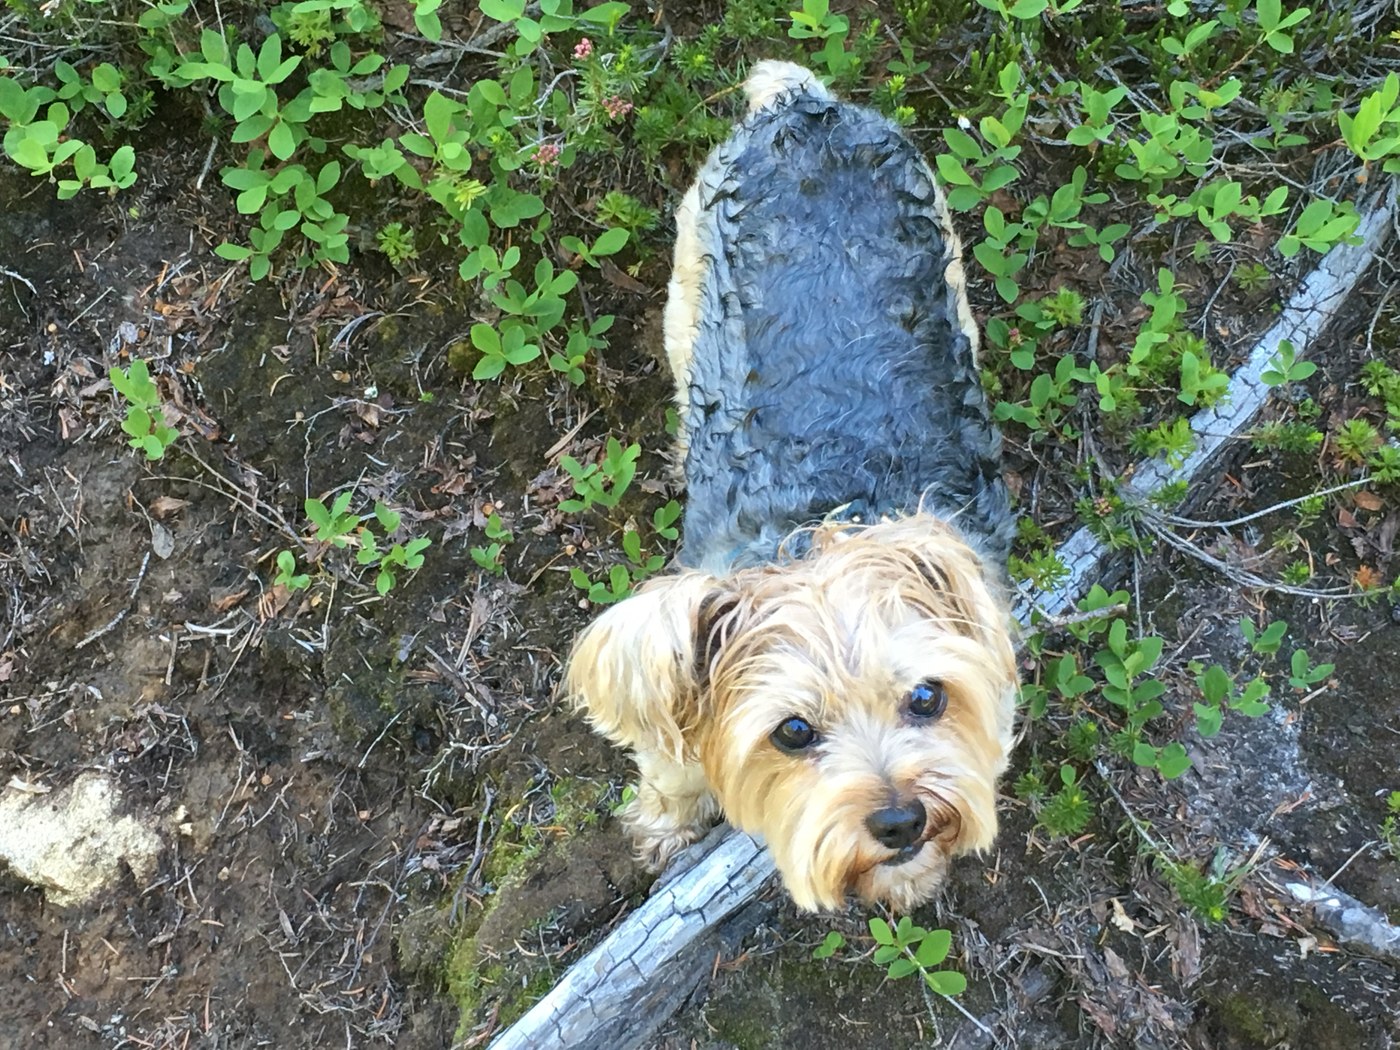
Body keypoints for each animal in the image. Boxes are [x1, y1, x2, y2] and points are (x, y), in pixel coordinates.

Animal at [565, 62, 1019, 912]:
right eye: (794, 732)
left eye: (928, 698)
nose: (903, 820)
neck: (816, 527)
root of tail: (800, 105)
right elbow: (669, 763)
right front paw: (666, 826)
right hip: (689, 284)